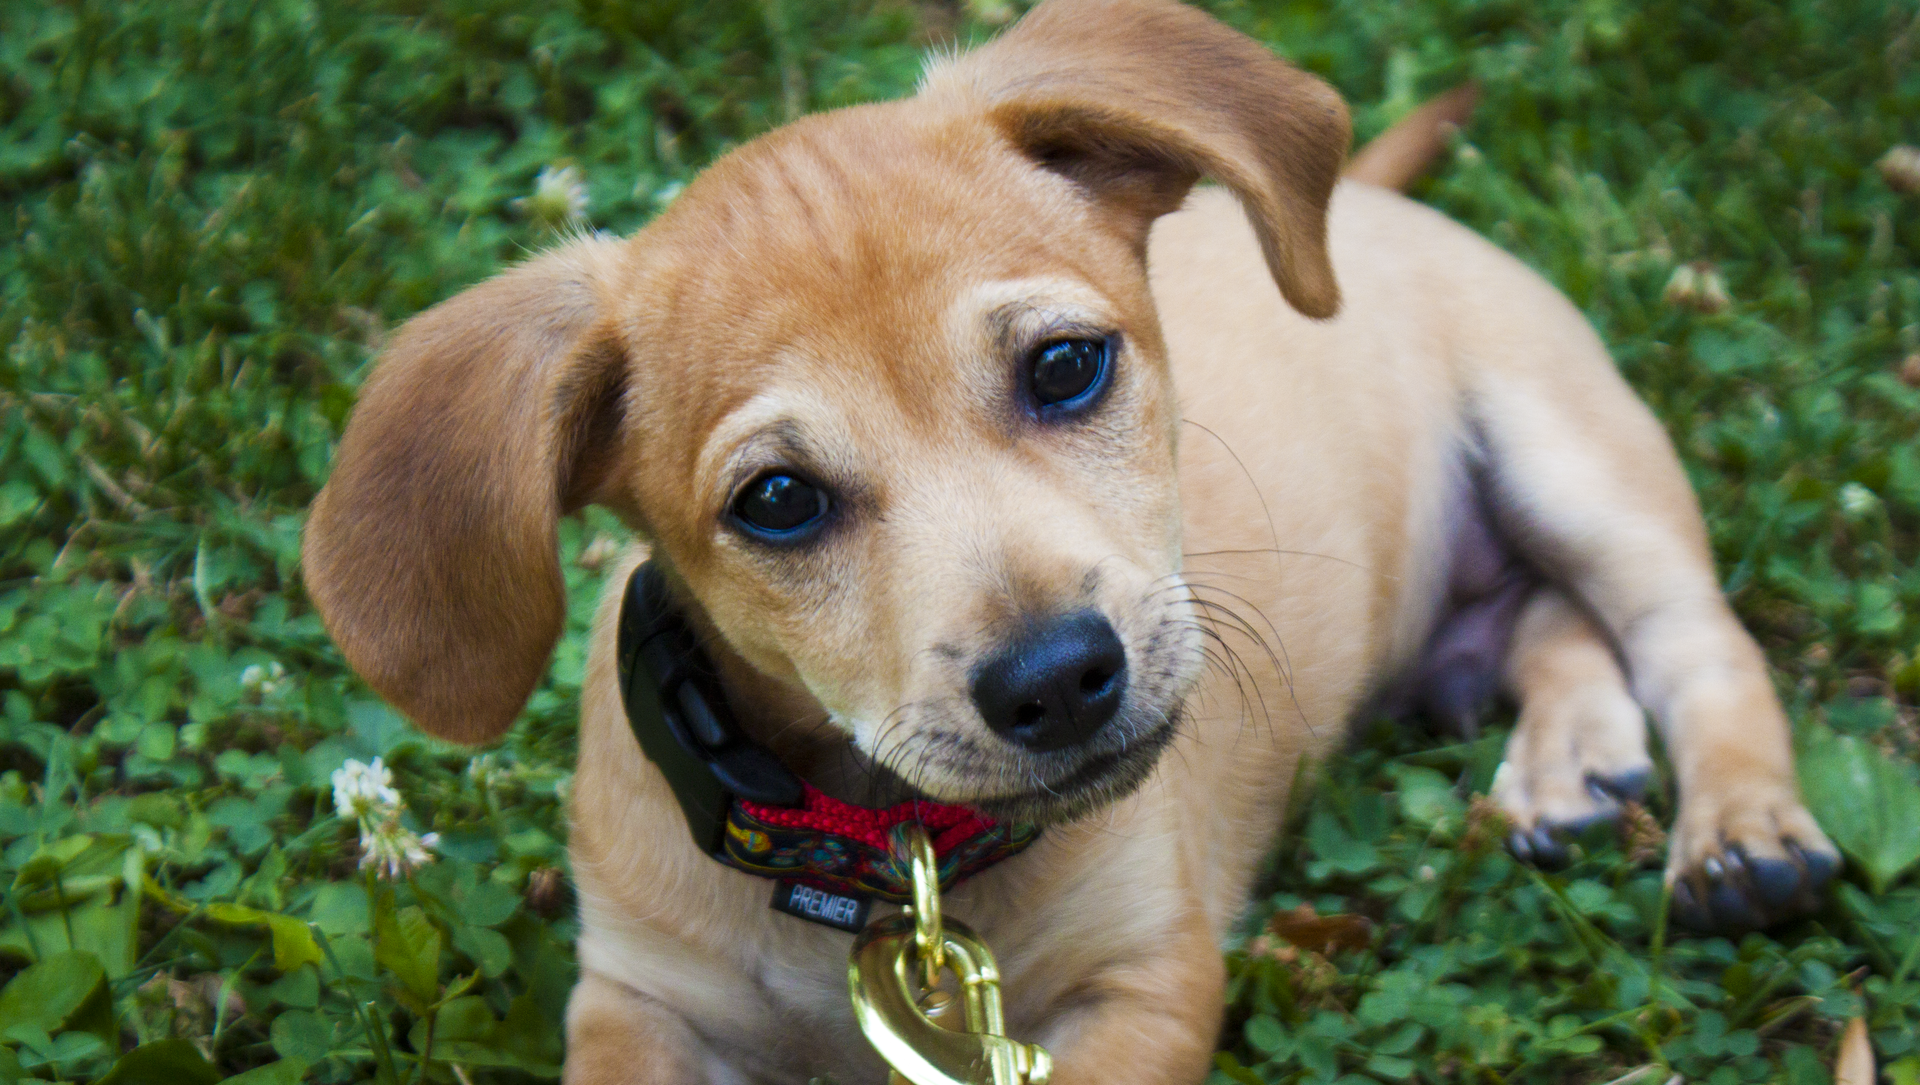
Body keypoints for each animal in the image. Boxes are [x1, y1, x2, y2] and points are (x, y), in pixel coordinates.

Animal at [302, 1, 1839, 1080]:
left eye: (1064, 367)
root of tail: (1380, 196)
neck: (880, 861)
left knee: (1690, 638)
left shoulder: (1146, 977)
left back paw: (1742, 831)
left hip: (1573, 452)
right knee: (1542, 621)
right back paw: (1569, 760)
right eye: (777, 501)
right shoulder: (635, 1004)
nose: (1058, 681)